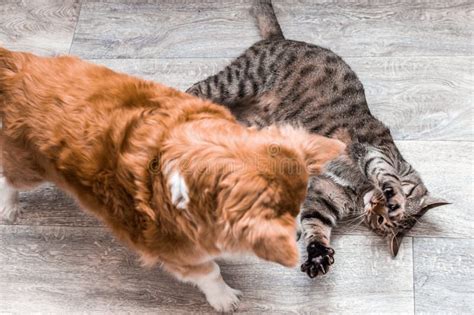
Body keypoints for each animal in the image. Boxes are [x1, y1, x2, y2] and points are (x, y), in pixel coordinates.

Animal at [0, 48, 344, 312]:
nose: (300, 235)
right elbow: (210, 271)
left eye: (300, 207)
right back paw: (9, 207)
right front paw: (224, 298)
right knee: (9, 179)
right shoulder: (177, 252)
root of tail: (16, 64)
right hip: (29, 168)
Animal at [186, 1, 448, 280]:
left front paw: (317, 255)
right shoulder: (368, 150)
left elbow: (315, 224)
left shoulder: (324, 196)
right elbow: (385, 173)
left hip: (252, 122)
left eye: (380, 222)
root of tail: (280, 38)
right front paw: (393, 195)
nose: (377, 207)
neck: (359, 190)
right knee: (196, 88)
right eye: (385, 215)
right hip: (240, 80)